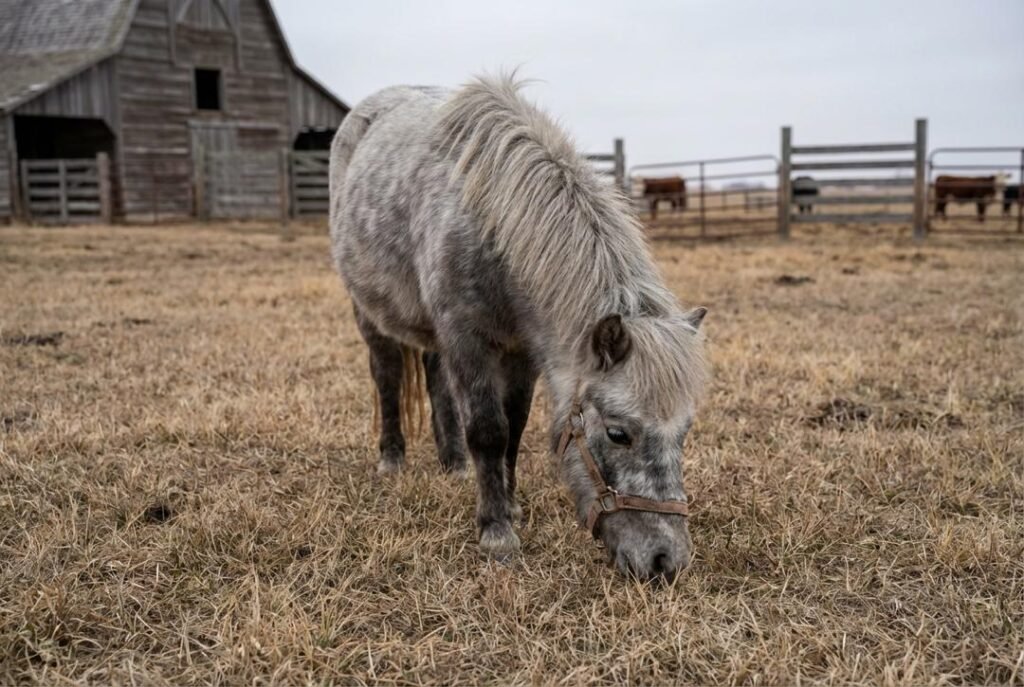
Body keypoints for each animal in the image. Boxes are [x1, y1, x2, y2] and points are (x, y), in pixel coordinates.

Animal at [329, 75, 708, 581]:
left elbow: (514, 428)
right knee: (387, 375)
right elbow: (489, 430)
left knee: (435, 379)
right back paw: (391, 459)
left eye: (684, 431)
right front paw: (497, 532)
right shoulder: (468, 340)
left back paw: (454, 464)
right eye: (617, 433)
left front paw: (509, 507)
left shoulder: (523, 352)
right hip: (368, 313)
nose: (666, 561)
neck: (494, 221)